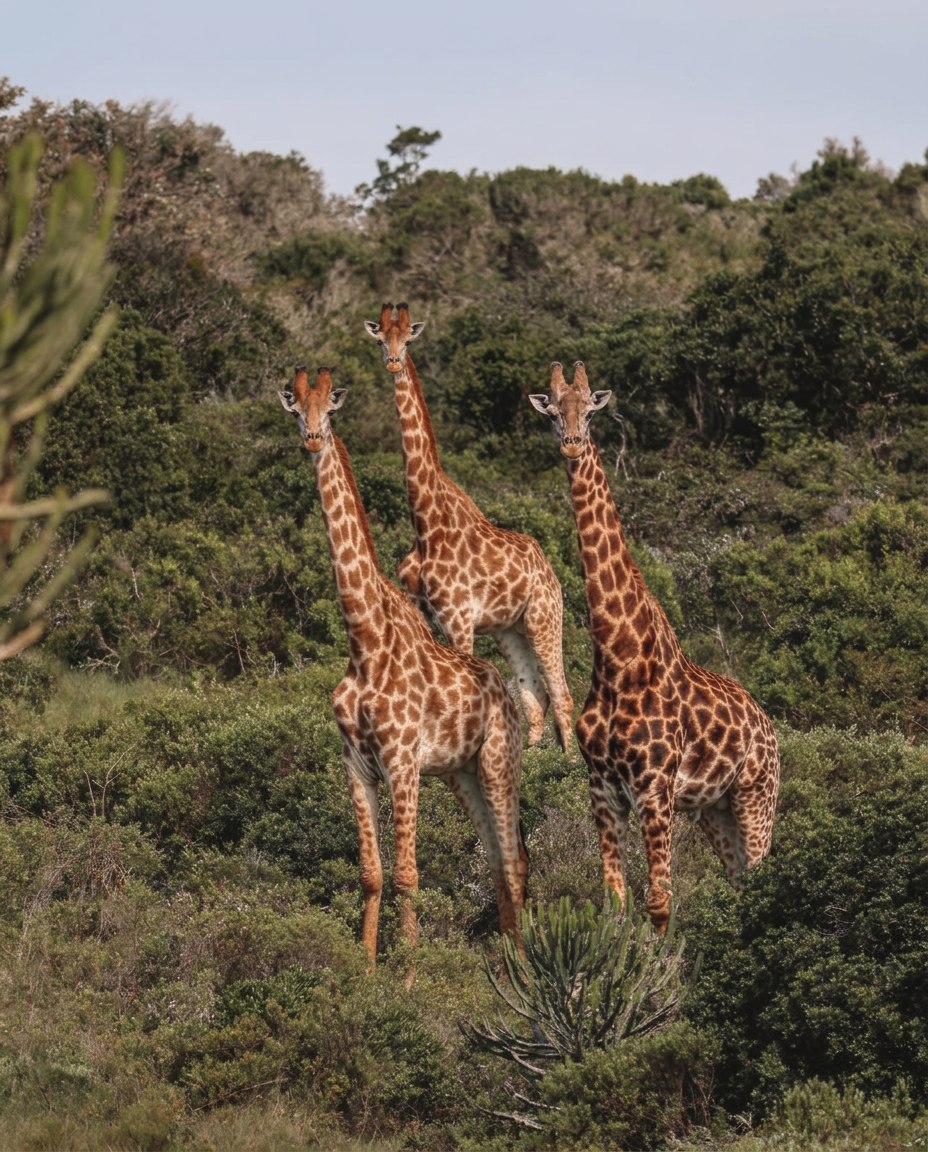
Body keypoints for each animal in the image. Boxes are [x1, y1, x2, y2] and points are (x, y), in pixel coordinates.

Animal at [279, 366, 527, 964]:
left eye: (330, 409)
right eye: (295, 408)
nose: (312, 441)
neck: (364, 642)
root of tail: (507, 697)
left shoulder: (402, 761)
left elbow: (407, 876)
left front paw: (408, 974)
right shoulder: (355, 764)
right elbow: (371, 875)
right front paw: (365, 969)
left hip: (497, 762)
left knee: (513, 861)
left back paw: (526, 964)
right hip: (461, 774)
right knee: (495, 859)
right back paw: (507, 961)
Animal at [364, 302, 575, 756]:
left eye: (408, 338)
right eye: (381, 338)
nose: (393, 362)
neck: (426, 523)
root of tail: (549, 567)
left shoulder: (459, 618)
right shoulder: (430, 617)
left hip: (544, 615)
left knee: (561, 691)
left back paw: (568, 763)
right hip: (509, 629)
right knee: (535, 694)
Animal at [529, 361, 779, 933]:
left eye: (590, 410)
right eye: (552, 411)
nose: (572, 445)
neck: (618, 656)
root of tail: (771, 727)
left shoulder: (654, 788)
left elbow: (660, 904)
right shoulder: (602, 788)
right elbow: (615, 901)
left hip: (757, 797)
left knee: (765, 876)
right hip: (714, 809)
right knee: (741, 883)